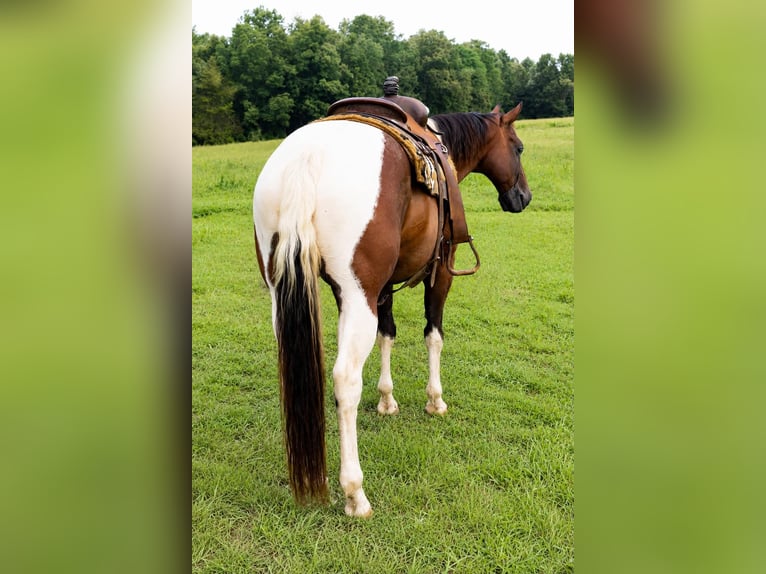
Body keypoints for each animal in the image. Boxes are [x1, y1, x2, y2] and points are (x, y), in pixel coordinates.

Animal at [252, 101, 531, 517]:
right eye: (518, 148)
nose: (523, 197)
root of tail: (308, 156)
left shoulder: (381, 290)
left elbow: (388, 335)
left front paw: (387, 400)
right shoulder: (441, 271)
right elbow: (433, 336)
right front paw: (435, 400)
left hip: (286, 295)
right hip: (358, 296)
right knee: (345, 381)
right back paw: (354, 493)